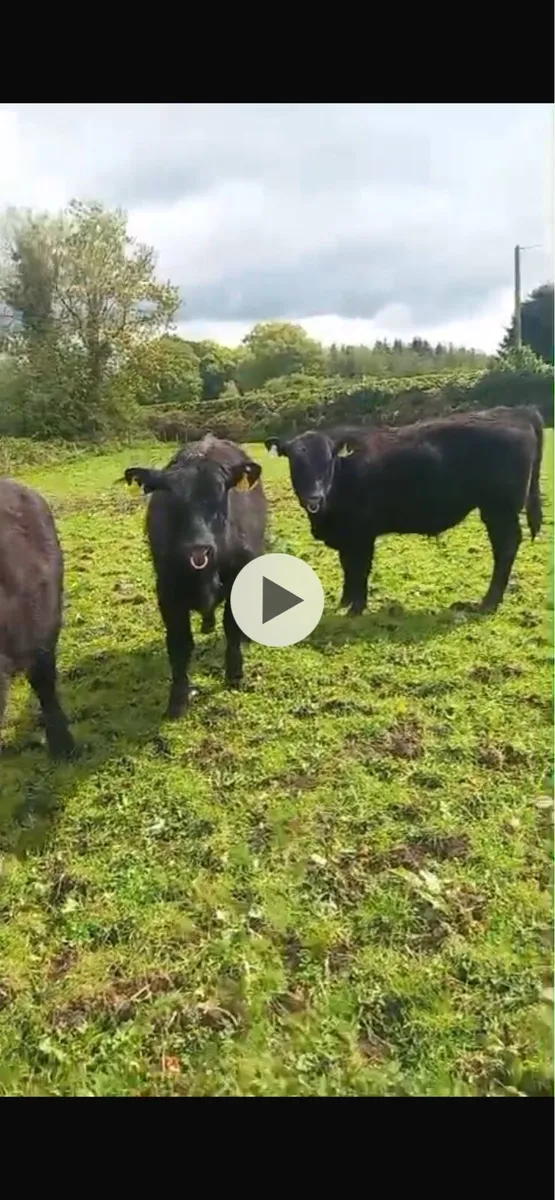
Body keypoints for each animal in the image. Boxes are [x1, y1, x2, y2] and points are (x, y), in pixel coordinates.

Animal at [124, 434, 267, 718]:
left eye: (220, 493)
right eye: (171, 498)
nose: (198, 547)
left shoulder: (237, 579)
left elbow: (232, 627)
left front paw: (235, 675)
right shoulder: (167, 591)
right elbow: (179, 644)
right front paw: (178, 699)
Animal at [265, 405, 544, 617]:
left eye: (327, 461)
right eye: (295, 462)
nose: (314, 497)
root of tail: (515, 411)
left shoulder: (362, 534)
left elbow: (360, 568)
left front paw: (356, 608)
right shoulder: (347, 536)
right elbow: (347, 567)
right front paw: (345, 602)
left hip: (499, 509)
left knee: (506, 547)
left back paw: (488, 603)